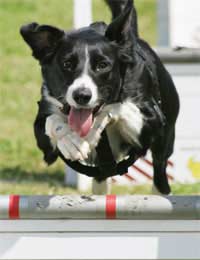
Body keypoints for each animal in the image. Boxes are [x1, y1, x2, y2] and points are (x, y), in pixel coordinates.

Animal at [20, 0, 180, 195]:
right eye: (67, 64)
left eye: (103, 65)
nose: (82, 96)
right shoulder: (46, 144)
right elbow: (51, 121)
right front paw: (70, 140)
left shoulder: (152, 124)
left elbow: (116, 108)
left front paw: (90, 133)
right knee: (101, 179)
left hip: (165, 141)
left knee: (160, 174)